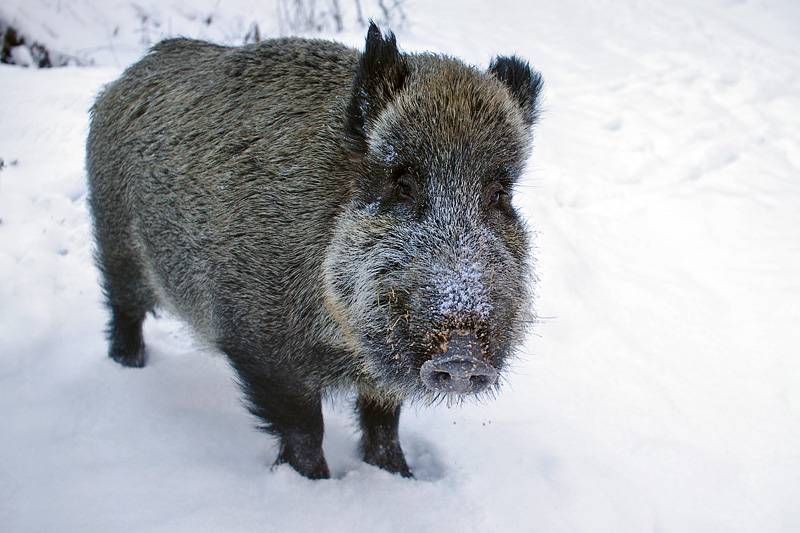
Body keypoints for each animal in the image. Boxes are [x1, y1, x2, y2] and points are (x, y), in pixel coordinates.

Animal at [86, 22, 543, 479]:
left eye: (499, 195)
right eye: (402, 185)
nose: (464, 353)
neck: (342, 340)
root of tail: (119, 83)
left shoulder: (378, 368)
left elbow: (384, 421)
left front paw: (399, 475)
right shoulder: (260, 343)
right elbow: (305, 426)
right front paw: (315, 482)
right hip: (116, 241)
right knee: (123, 307)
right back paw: (129, 364)